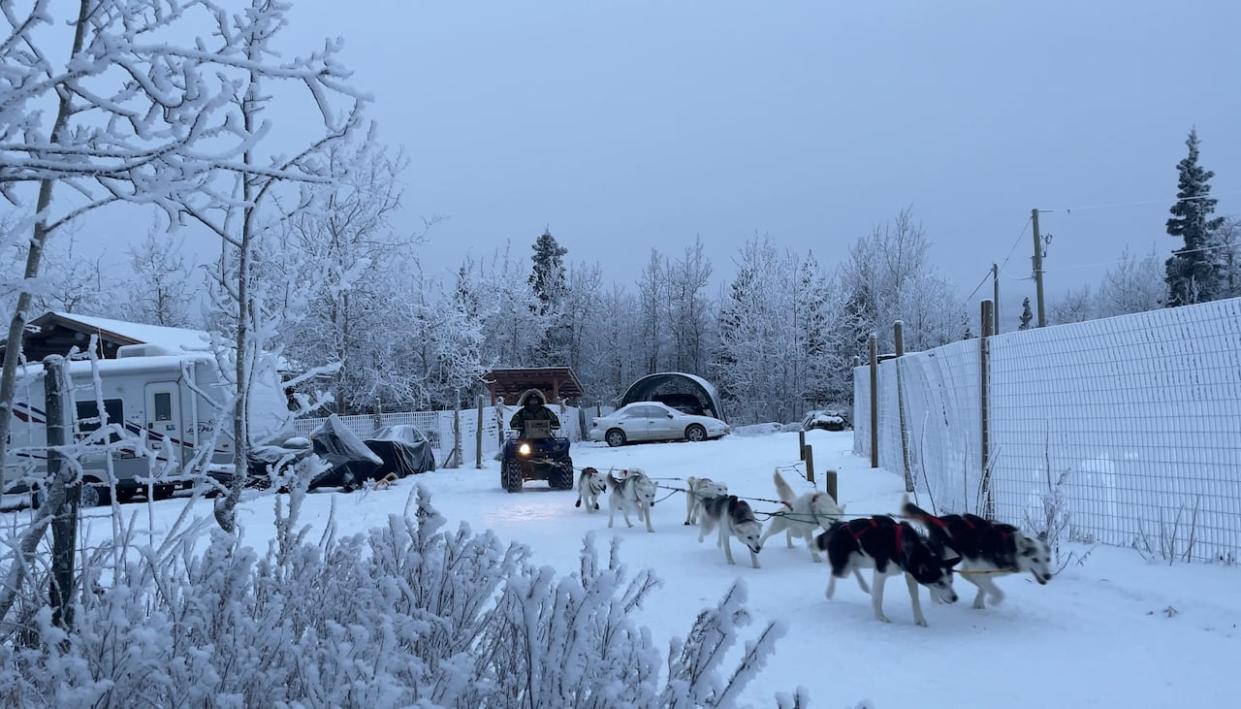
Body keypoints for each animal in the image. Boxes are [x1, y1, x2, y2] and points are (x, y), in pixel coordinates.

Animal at [819, 516, 963, 625]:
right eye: (940, 583)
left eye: (951, 581)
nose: (955, 598)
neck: (915, 550)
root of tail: (838, 525)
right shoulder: (880, 572)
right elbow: (878, 597)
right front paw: (880, 617)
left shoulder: (909, 574)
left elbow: (915, 598)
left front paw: (919, 619)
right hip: (844, 567)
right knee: (835, 572)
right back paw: (829, 592)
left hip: (863, 561)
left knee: (854, 568)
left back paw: (864, 586)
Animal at [898, 496, 1052, 608]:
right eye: (1035, 559)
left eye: (1048, 559)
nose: (1048, 576)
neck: (1010, 546)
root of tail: (938, 519)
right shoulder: (979, 569)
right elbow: (998, 593)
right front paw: (992, 601)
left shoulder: (980, 570)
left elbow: (982, 586)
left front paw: (979, 603)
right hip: (948, 555)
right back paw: (936, 602)